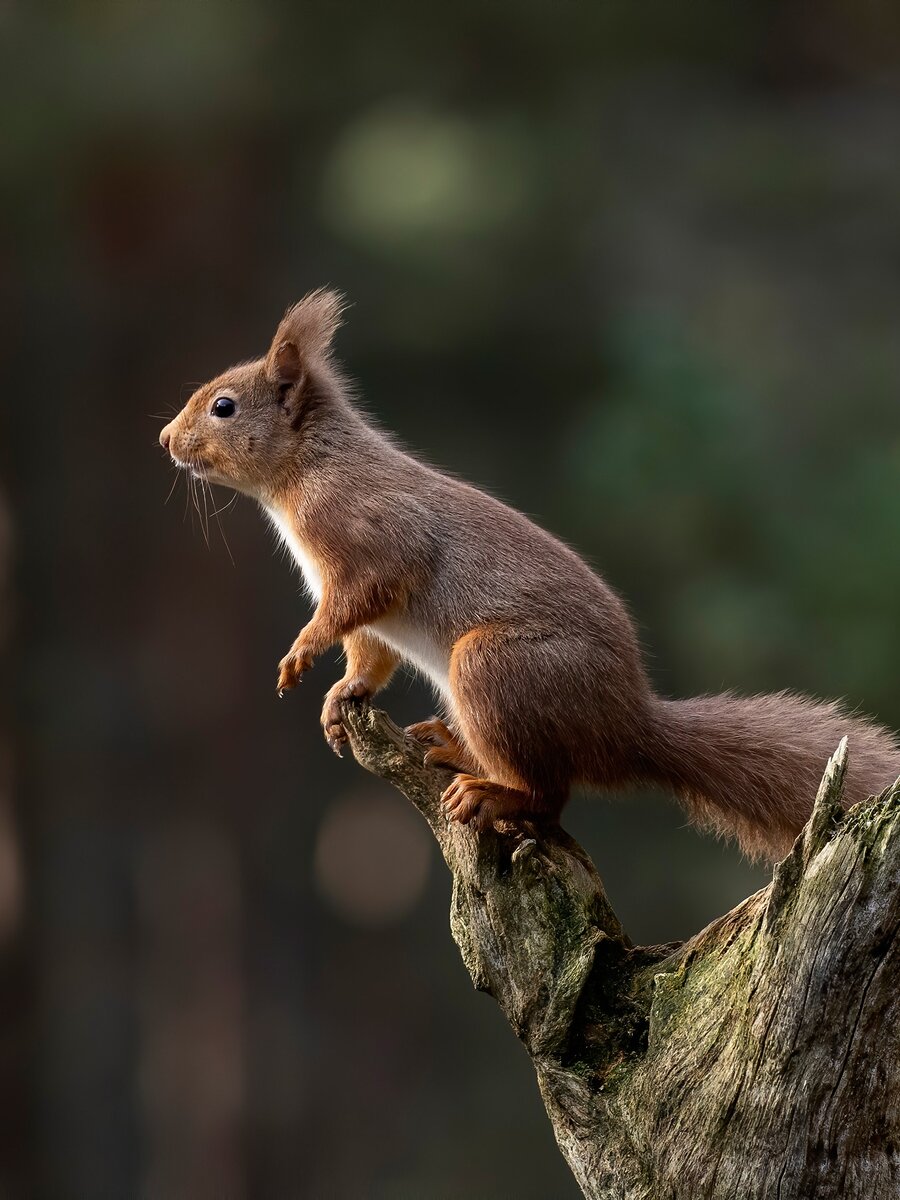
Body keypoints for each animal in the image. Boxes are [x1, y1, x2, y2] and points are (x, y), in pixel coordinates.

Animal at [159, 289, 900, 860]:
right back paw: (454, 751)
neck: (305, 469)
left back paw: (493, 790)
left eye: (224, 406)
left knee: (552, 797)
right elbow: (367, 651)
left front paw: (302, 654)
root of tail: (627, 728)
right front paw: (342, 696)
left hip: (495, 668)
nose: (165, 440)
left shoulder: (371, 539)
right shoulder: (353, 598)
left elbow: (363, 600)